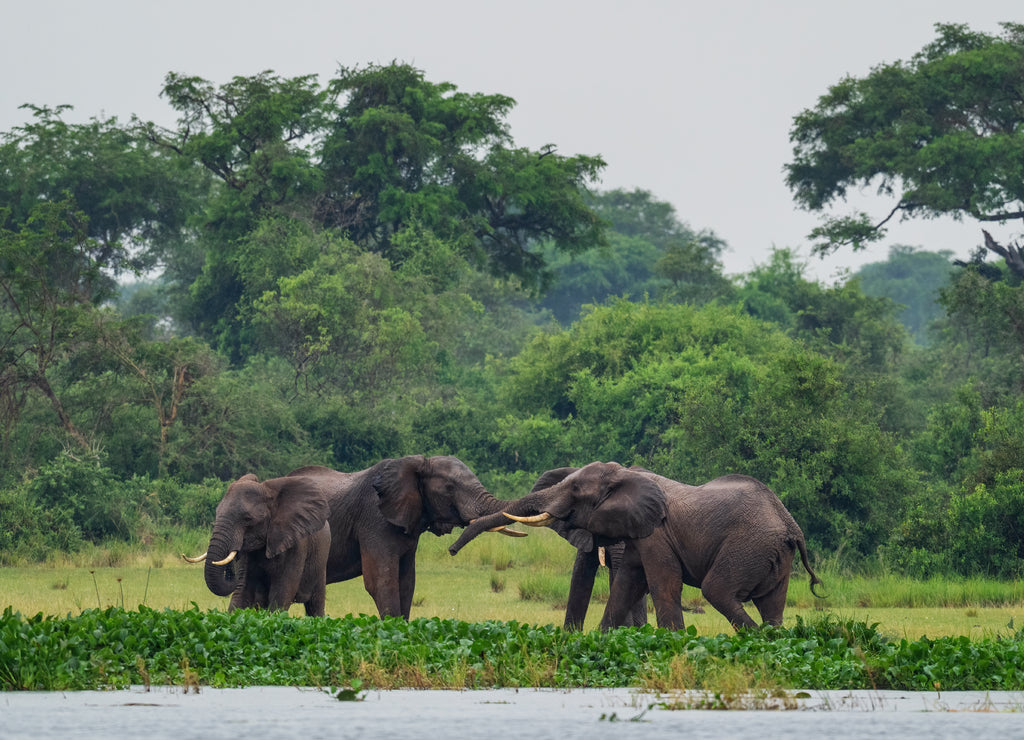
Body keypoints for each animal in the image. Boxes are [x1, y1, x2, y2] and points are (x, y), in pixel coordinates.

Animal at [184, 473, 331, 616]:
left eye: (247, 519)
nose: (232, 572)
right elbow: (243, 592)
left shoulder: (297, 546)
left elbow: (282, 593)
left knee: (315, 605)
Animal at [449, 462, 824, 631]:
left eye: (575, 492)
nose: (450, 551)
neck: (626, 475)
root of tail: (792, 526)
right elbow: (627, 583)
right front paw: (601, 639)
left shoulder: (656, 534)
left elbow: (662, 585)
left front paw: (676, 643)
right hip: (773, 554)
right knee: (772, 605)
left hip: (748, 546)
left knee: (716, 591)